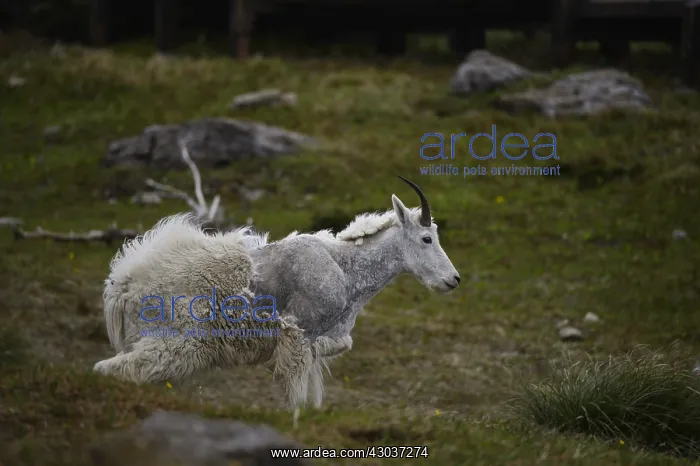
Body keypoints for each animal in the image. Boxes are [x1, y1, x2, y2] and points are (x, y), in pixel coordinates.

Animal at [93, 176, 460, 415]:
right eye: (427, 238)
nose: (453, 280)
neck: (345, 270)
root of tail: (120, 285)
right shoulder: (297, 335)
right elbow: (294, 398)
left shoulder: (314, 347)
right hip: (177, 340)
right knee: (114, 367)